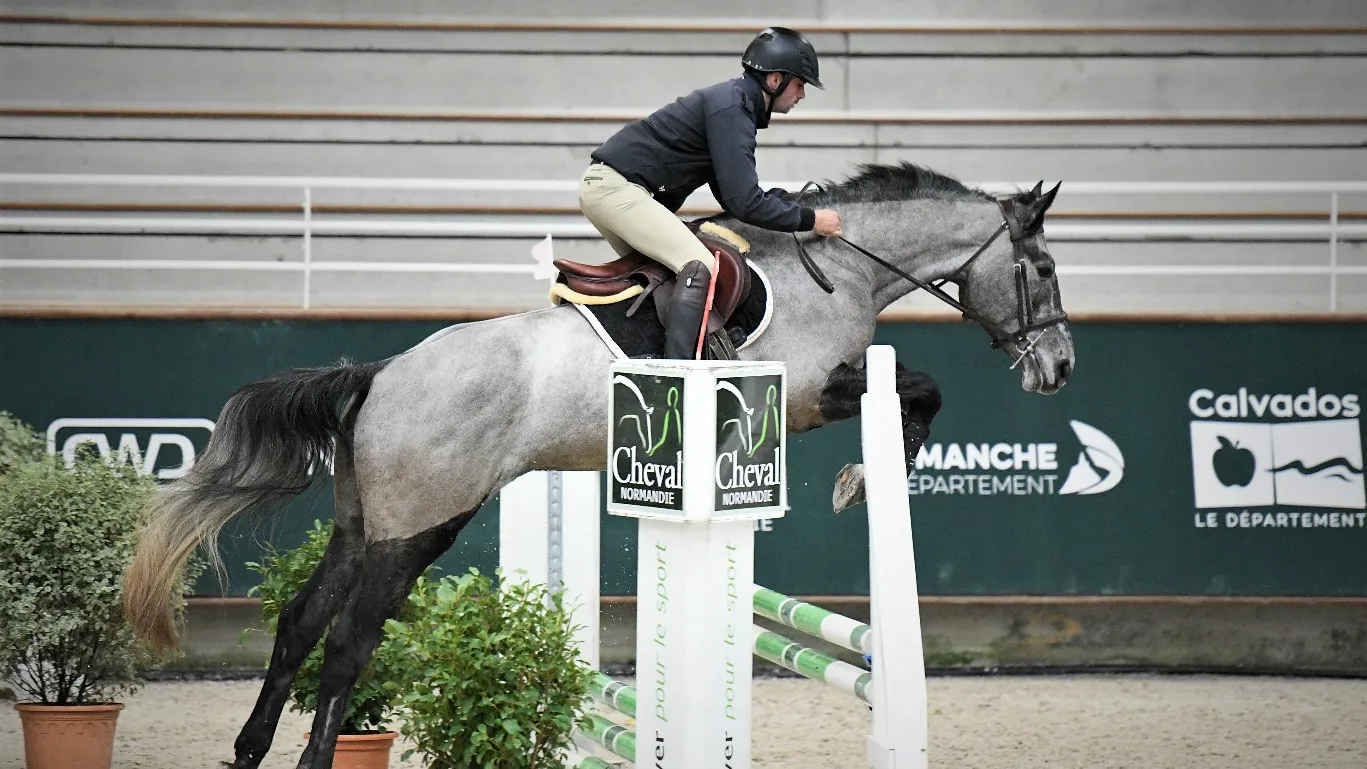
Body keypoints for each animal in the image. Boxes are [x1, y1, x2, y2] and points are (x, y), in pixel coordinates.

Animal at [122, 162, 1075, 769]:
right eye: (1039, 268)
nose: (1058, 366)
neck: (834, 269)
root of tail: (381, 371)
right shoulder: (808, 392)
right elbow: (922, 389)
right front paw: (861, 480)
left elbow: (919, 388)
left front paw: (857, 478)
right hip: (420, 526)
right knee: (350, 641)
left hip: (363, 522)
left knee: (298, 624)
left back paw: (247, 751)